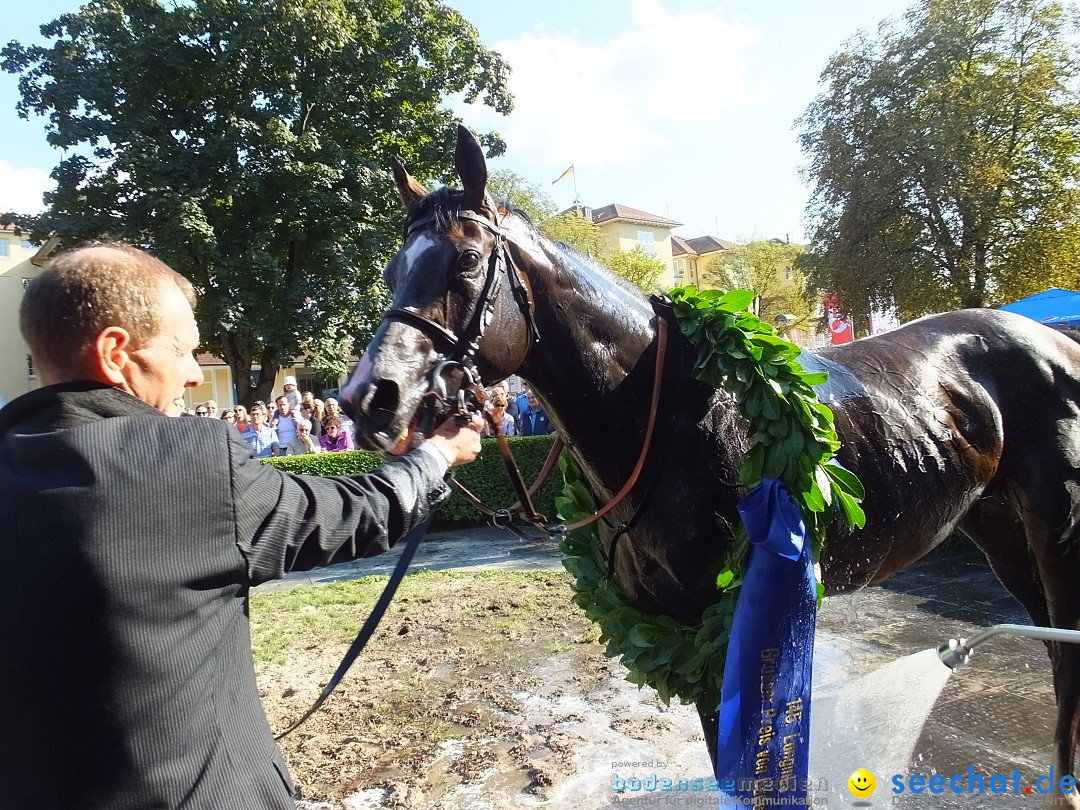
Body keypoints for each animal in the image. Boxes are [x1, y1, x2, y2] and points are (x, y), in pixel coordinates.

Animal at [341, 126, 1080, 799]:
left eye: (466, 259)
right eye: (393, 270)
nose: (367, 397)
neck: (667, 416)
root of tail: (1051, 341)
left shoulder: (739, 622)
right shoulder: (683, 632)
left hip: (1057, 532)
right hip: (999, 528)